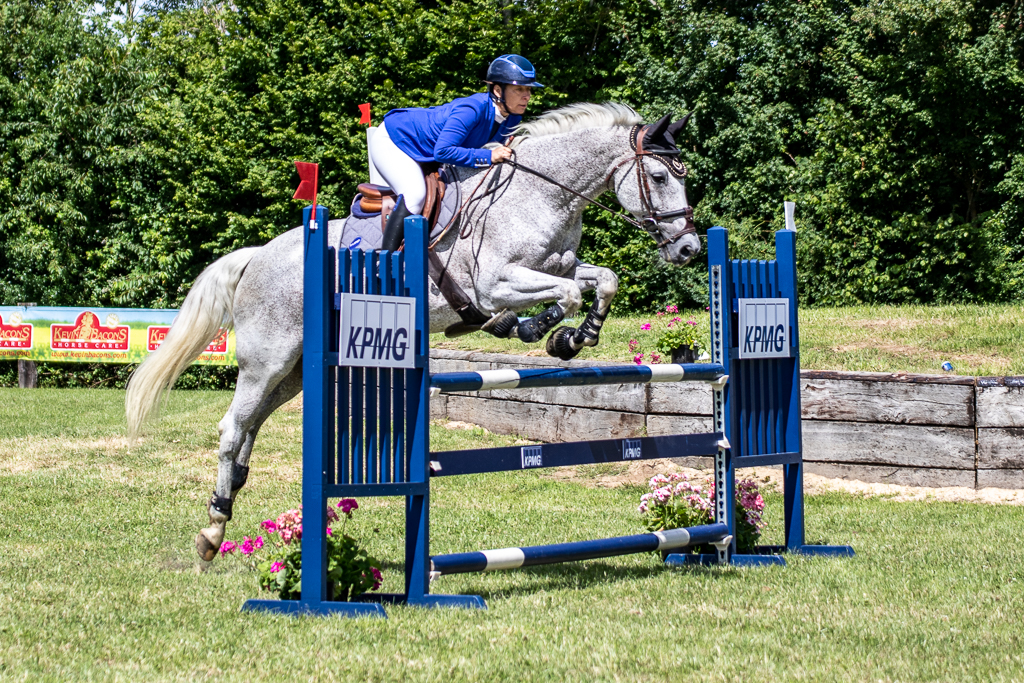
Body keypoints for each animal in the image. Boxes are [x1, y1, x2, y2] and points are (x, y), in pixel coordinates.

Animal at [124, 102, 702, 561]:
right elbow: (564, 296)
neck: (540, 195)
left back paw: (221, 517)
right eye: (660, 176)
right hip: (268, 359)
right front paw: (533, 329)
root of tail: (257, 256)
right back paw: (210, 533)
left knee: (249, 429)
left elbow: (601, 281)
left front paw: (575, 338)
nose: (689, 248)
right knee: (231, 428)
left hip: (292, 372)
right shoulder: (495, 283)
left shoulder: (559, 265)